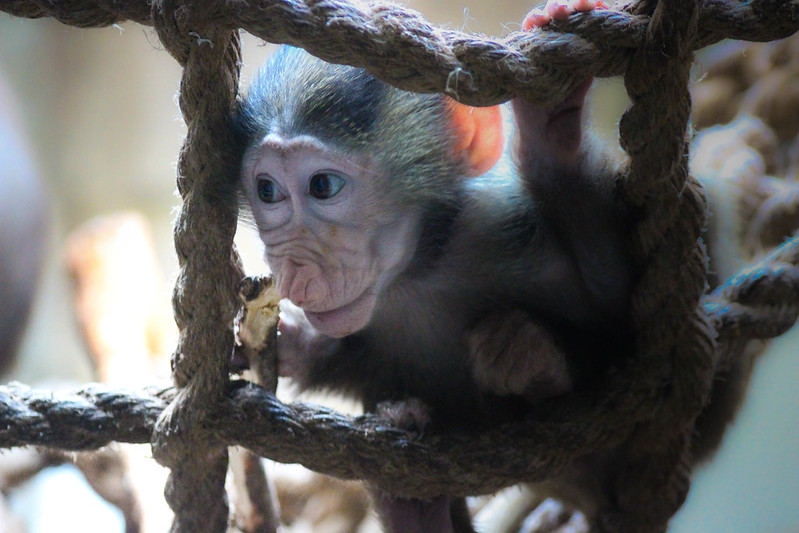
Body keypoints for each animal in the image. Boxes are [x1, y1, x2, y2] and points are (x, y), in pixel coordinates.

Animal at [234, 1, 628, 530]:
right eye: (268, 191)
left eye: (322, 186)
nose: (293, 268)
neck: (418, 272)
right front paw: (293, 343)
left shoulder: (501, 228)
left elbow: (623, 325)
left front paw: (552, 136)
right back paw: (413, 504)